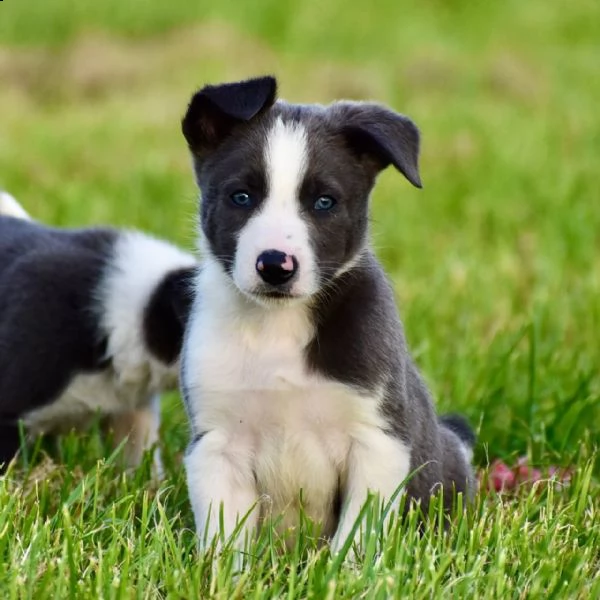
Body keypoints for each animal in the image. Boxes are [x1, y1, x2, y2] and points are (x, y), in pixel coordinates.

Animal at [180, 77, 476, 556]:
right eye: (241, 197)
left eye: (324, 202)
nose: (275, 265)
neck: (277, 326)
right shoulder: (217, 446)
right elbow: (225, 545)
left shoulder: (378, 441)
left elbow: (356, 538)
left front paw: (346, 570)